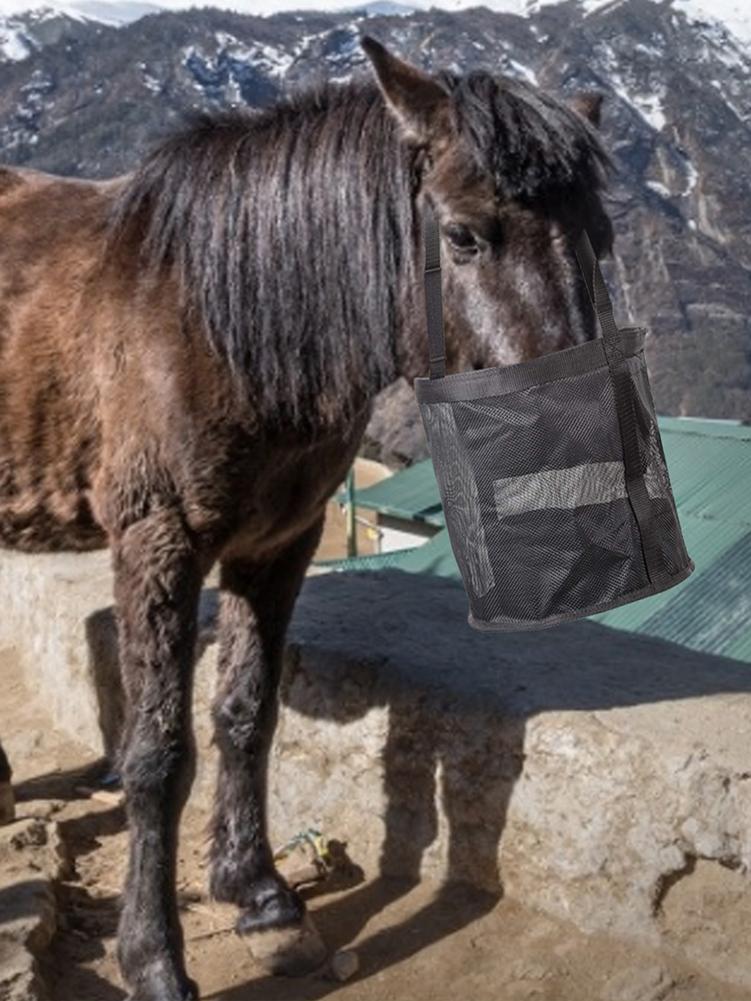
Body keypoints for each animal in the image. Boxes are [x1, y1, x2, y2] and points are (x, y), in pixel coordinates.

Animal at [0, 34, 614, 1000]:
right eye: (463, 234)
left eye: (602, 236)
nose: (574, 429)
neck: (221, 320)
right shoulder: (157, 542)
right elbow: (157, 753)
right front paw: (154, 955)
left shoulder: (279, 543)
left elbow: (247, 713)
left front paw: (259, 895)